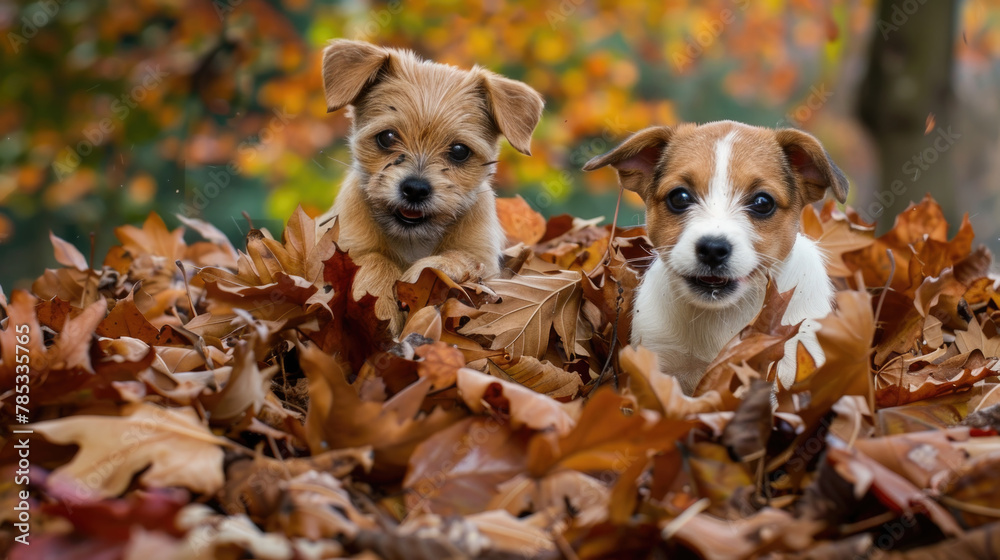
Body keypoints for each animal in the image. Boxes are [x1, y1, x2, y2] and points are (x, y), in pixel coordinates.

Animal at [318, 41, 540, 334]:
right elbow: (373, 259)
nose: (415, 189)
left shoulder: (483, 257)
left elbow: (458, 258)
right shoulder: (343, 244)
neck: (413, 239)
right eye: (387, 137)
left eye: (459, 151)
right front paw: (382, 308)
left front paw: (419, 273)